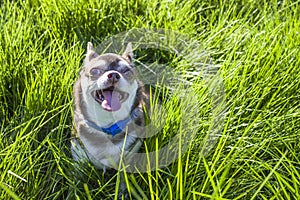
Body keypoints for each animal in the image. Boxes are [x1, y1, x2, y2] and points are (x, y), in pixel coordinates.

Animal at [70, 41, 150, 196]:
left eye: (127, 72)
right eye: (95, 71)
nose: (113, 75)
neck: (107, 126)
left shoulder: (128, 159)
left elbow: (123, 180)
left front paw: (122, 193)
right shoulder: (78, 159)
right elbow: (75, 183)